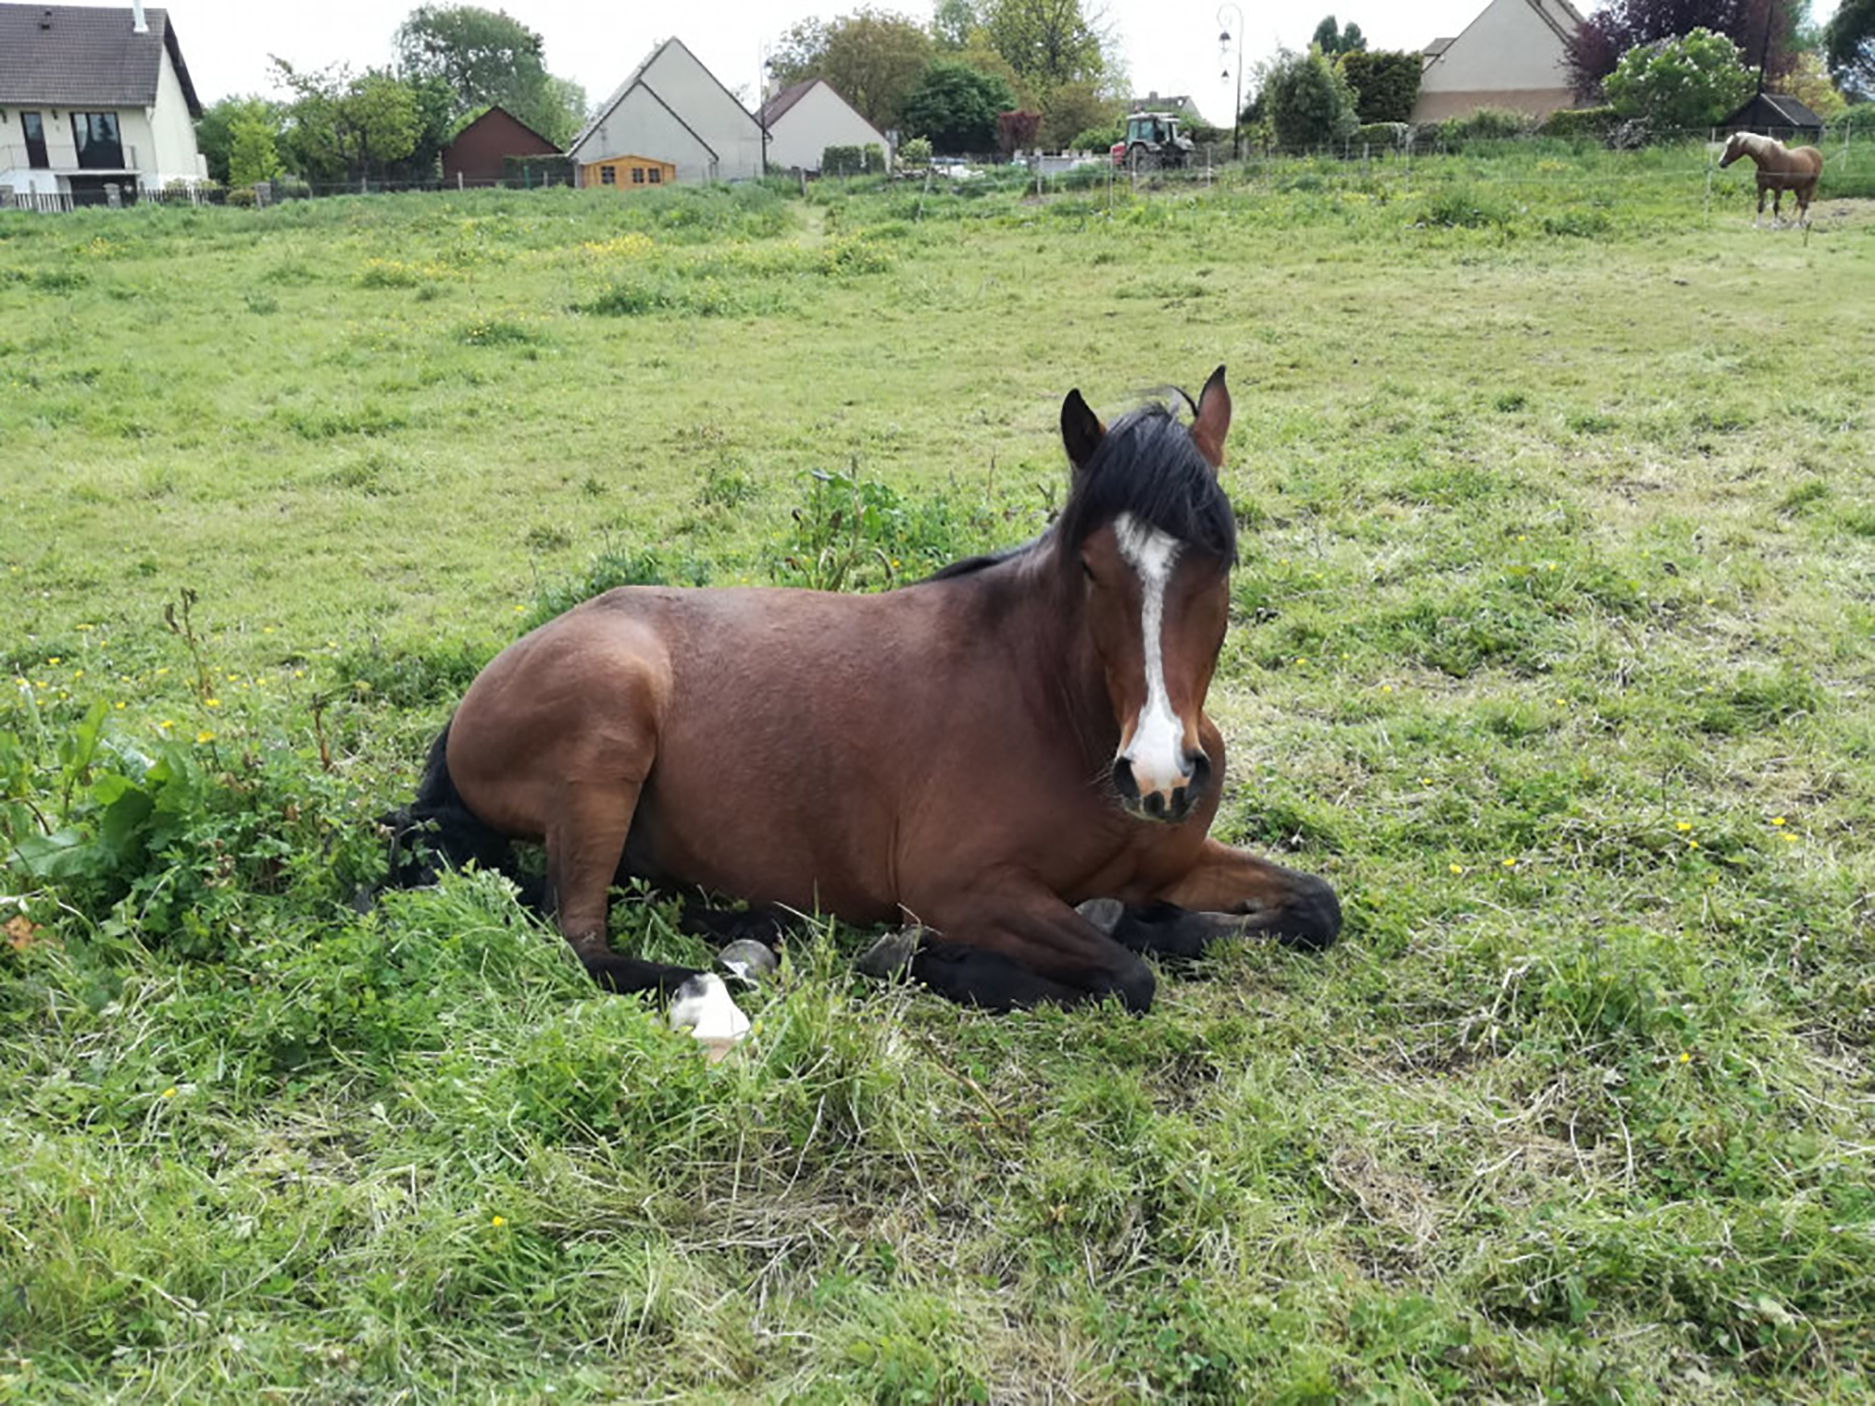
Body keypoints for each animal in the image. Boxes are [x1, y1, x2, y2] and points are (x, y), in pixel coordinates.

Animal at [388, 369, 1342, 1019]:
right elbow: (1124, 978)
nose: (1158, 775)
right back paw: (725, 973)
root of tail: (486, 683)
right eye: (1089, 568)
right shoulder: (961, 889)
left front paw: (1149, 920)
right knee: (580, 941)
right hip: (606, 737)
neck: (1056, 717)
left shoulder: (1176, 860)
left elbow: (1313, 907)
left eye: (1220, 557)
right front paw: (927, 959)